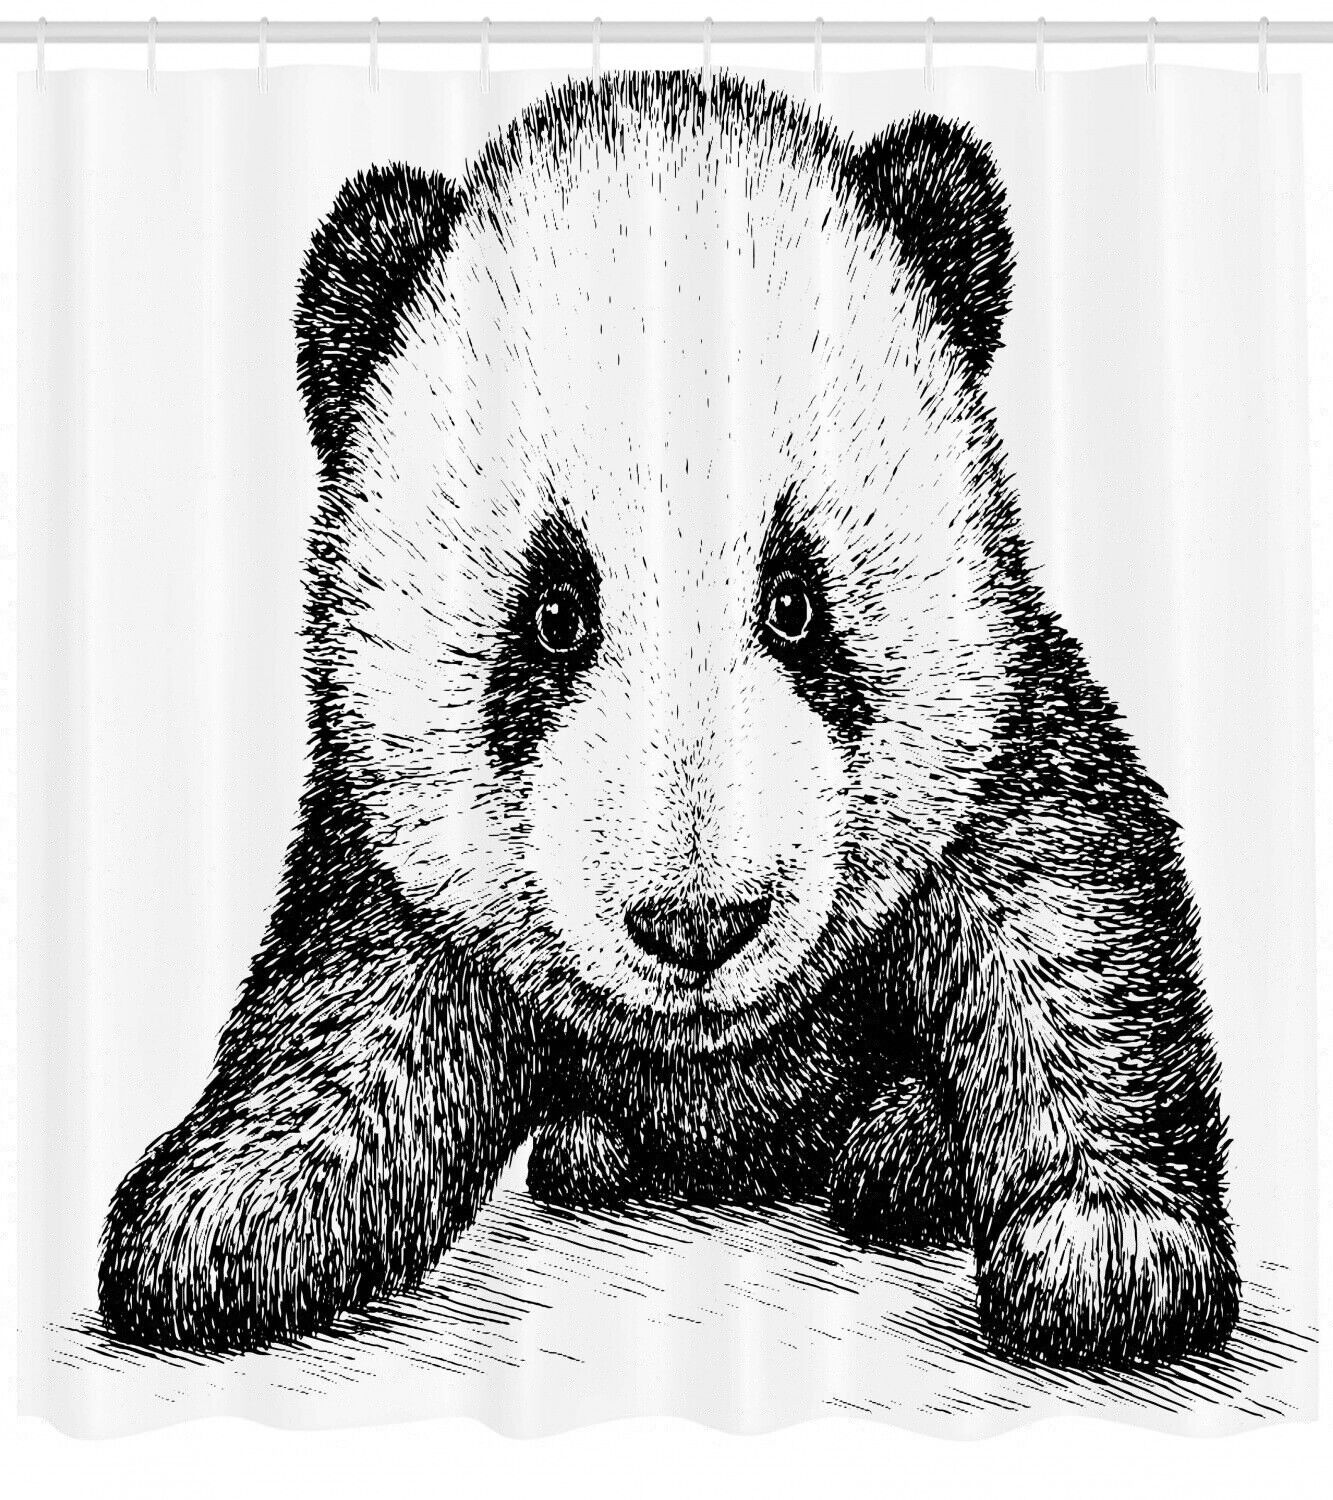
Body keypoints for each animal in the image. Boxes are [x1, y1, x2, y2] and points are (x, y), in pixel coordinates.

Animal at [98, 72, 1239, 1370]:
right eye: (554, 614)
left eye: (796, 602)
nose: (698, 925)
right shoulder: (405, 842)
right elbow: (356, 1017)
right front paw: (223, 1219)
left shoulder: (989, 730)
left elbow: (1064, 937)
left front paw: (1108, 1251)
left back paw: (903, 1152)